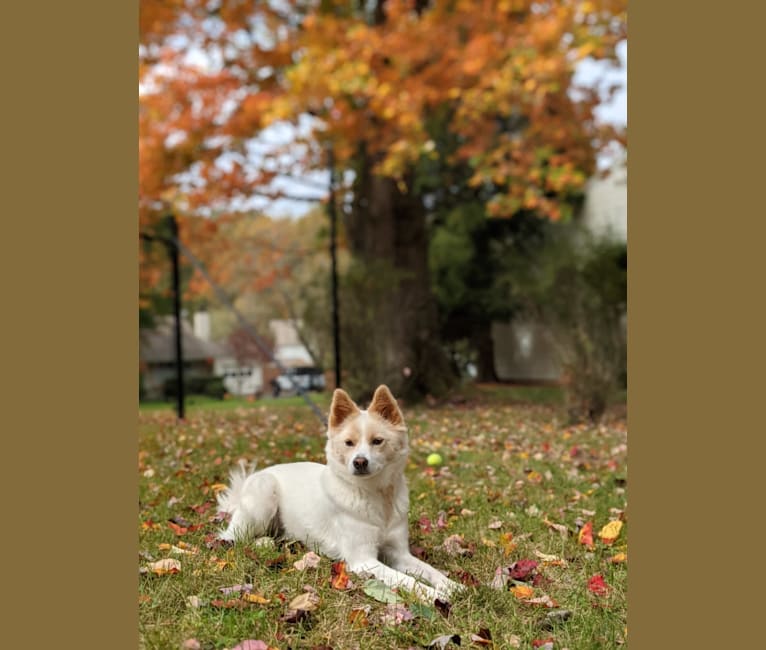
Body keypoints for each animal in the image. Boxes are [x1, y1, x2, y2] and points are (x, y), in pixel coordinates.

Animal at [216, 382, 462, 600]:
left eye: (377, 441)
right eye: (349, 443)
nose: (359, 462)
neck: (376, 495)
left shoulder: (399, 553)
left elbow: (429, 569)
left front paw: (451, 585)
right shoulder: (363, 561)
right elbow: (407, 580)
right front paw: (433, 595)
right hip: (264, 494)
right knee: (230, 537)